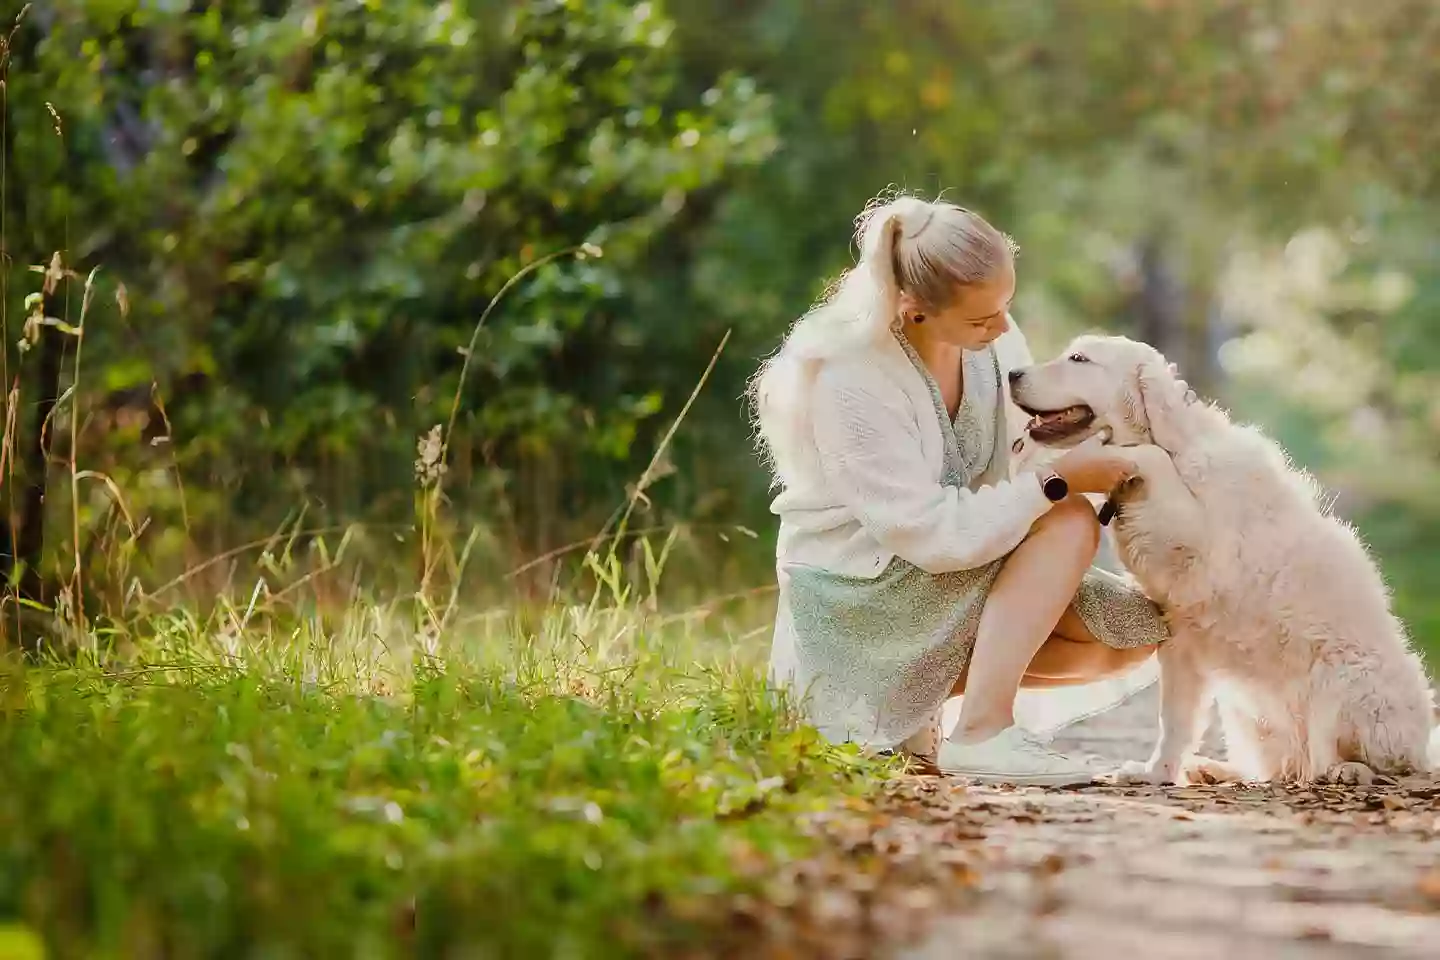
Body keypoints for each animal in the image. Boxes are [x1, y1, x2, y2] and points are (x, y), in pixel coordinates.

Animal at [1008, 333, 1434, 782]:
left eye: (1078, 359)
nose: (1013, 374)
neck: (1176, 449)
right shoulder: (1179, 638)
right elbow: (1174, 721)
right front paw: (1156, 773)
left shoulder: (1204, 541)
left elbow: (1152, 458)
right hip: (1246, 716)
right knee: (1276, 768)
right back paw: (1211, 769)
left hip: (1344, 682)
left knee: (1370, 764)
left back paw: (1347, 771)